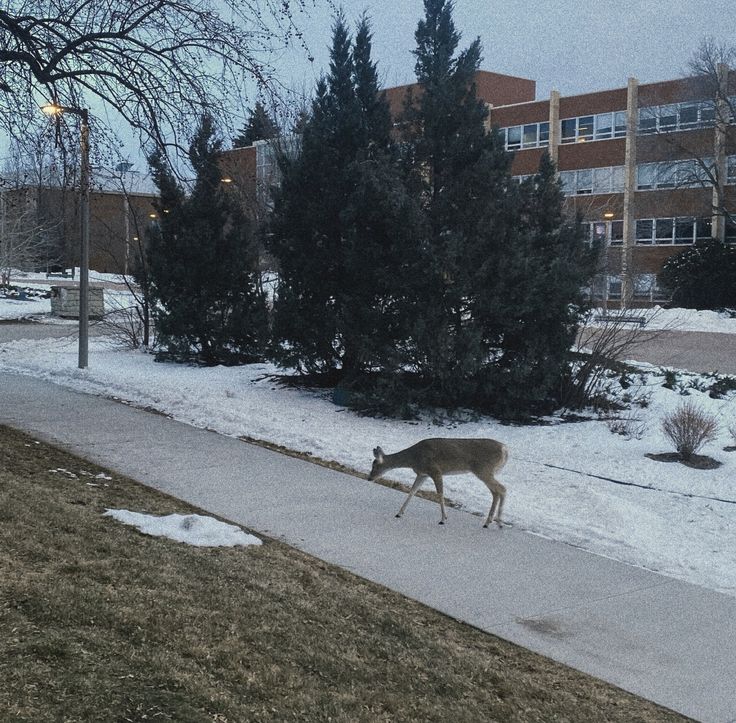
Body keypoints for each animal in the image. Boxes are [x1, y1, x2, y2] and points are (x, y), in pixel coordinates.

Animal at [366, 438, 508, 528]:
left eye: (374, 465)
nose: (369, 478)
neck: (413, 458)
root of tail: (505, 449)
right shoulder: (422, 474)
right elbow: (412, 491)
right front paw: (399, 513)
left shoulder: (435, 470)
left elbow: (440, 493)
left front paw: (443, 519)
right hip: (486, 471)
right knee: (496, 491)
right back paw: (490, 522)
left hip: (483, 470)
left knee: (501, 488)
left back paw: (497, 522)